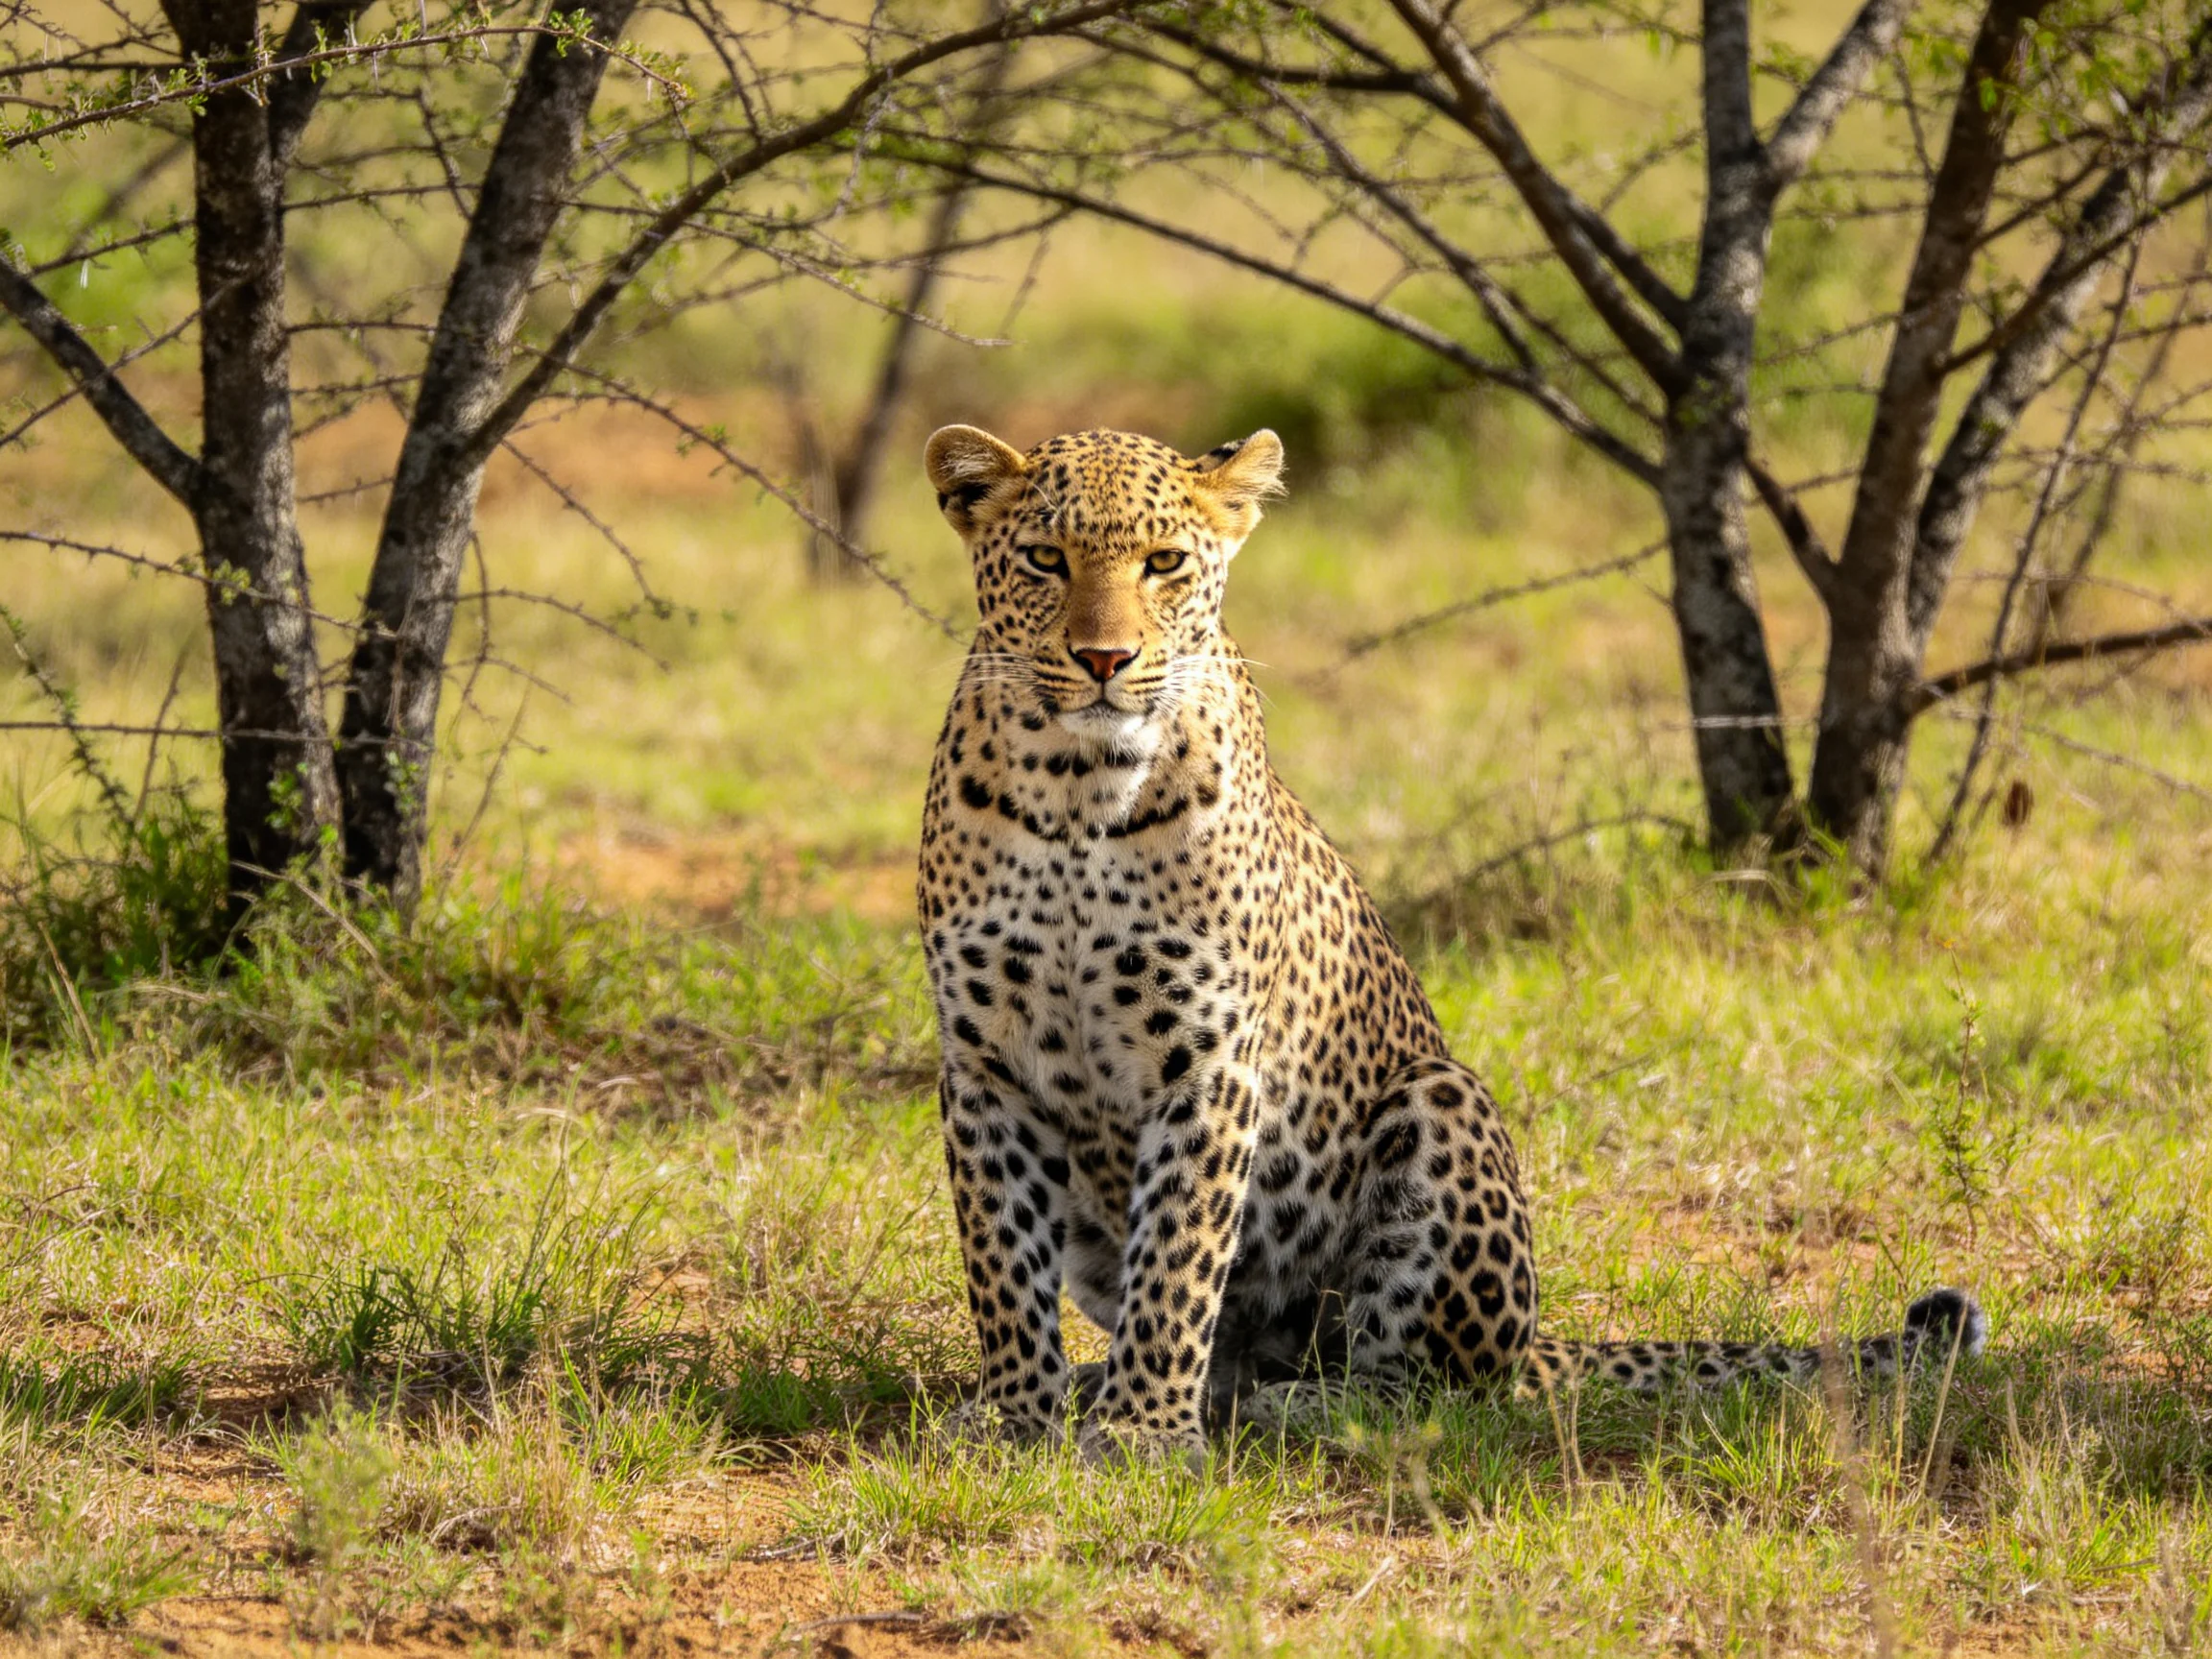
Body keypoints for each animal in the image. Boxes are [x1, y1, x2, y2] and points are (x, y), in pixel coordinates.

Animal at [915, 422, 1985, 1461]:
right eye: (1046, 559)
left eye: (1163, 561)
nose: (1104, 659)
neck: (1079, 790)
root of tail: (1536, 1336)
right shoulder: (984, 1064)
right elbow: (1004, 1259)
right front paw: (1017, 1415)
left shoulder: (1208, 1061)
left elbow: (1178, 1257)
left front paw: (1142, 1429)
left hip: (1439, 1103)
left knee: (1438, 1387)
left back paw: (1301, 1406)